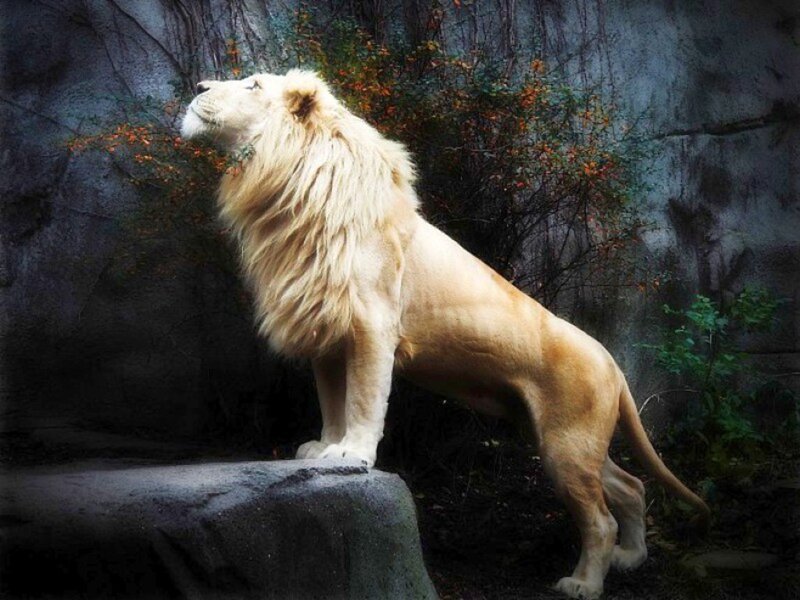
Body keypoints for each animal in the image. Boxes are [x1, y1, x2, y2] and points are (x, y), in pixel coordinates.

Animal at [181, 70, 709, 599]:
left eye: (253, 85)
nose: (199, 86)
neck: (288, 186)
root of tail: (612, 359)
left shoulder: (373, 322)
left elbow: (364, 398)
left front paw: (353, 453)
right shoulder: (326, 330)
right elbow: (332, 400)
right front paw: (323, 449)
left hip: (567, 444)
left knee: (600, 518)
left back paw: (583, 583)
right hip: (565, 437)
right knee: (631, 487)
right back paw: (631, 557)